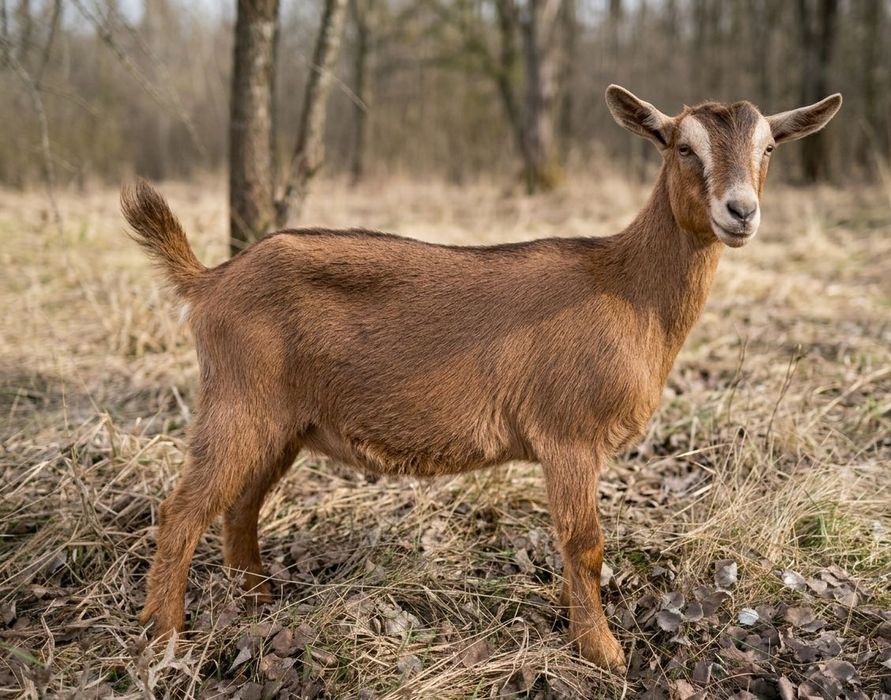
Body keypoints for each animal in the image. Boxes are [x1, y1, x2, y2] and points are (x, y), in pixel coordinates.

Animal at [122, 85, 841, 670]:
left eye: (769, 146)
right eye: (682, 146)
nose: (740, 211)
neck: (626, 288)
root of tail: (209, 281)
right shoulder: (569, 436)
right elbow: (584, 544)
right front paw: (601, 653)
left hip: (284, 423)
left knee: (239, 504)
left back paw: (258, 599)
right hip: (238, 401)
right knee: (182, 508)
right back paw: (164, 638)